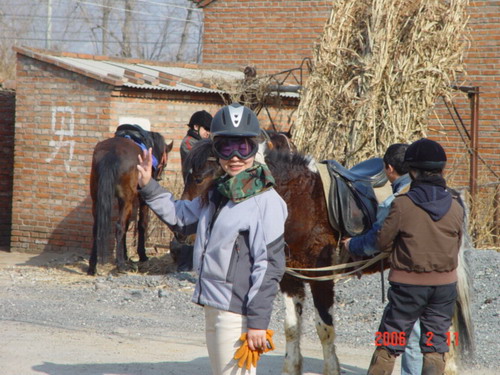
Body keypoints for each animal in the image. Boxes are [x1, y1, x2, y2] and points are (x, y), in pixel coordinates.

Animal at [89, 127, 174, 276]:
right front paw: (141, 255)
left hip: (97, 198)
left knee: (97, 227)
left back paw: (92, 266)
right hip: (126, 200)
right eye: (165, 162)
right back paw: (121, 265)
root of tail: (111, 153)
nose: (158, 176)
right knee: (120, 226)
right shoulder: (141, 200)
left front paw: (126, 254)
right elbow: (142, 224)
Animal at [181, 140, 472, 375]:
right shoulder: (289, 278)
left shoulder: (321, 277)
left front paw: (331, 369)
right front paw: (291, 368)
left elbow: (325, 328)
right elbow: (291, 327)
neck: (297, 202)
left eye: (203, 178)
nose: (185, 232)